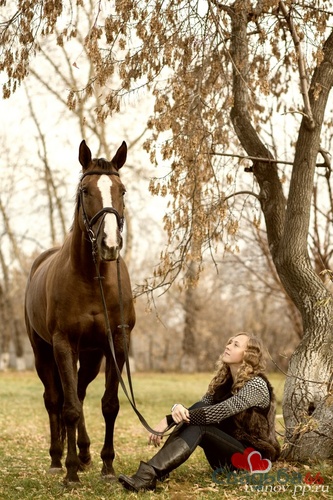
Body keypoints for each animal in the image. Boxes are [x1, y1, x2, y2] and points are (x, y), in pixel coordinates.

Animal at [24, 141, 135, 484]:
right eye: (85, 190)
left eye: (122, 190)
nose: (109, 245)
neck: (91, 278)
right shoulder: (62, 344)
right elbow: (68, 408)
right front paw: (70, 472)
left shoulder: (117, 345)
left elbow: (109, 405)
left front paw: (107, 467)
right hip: (43, 352)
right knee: (55, 401)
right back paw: (58, 458)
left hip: (90, 356)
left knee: (82, 394)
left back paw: (85, 453)